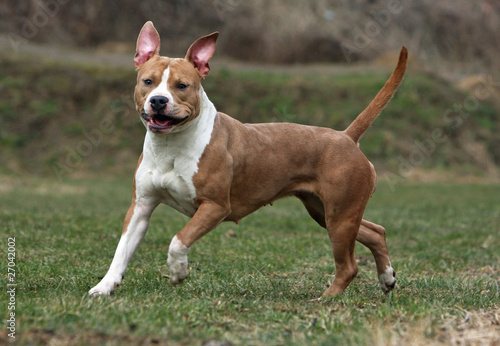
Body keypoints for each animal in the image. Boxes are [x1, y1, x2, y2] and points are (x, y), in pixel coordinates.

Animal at [89, 21, 406, 298]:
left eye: (182, 86)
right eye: (148, 81)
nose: (158, 101)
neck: (171, 145)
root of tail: (346, 136)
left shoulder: (215, 206)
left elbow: (179, 239)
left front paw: (178, 271)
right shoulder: (141, 207)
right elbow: (121, 251)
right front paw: (104, 287)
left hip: (339, 218)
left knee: (349, 265)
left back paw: (327, 298)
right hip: (326, 213)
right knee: (375, 232)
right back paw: (386, 278)